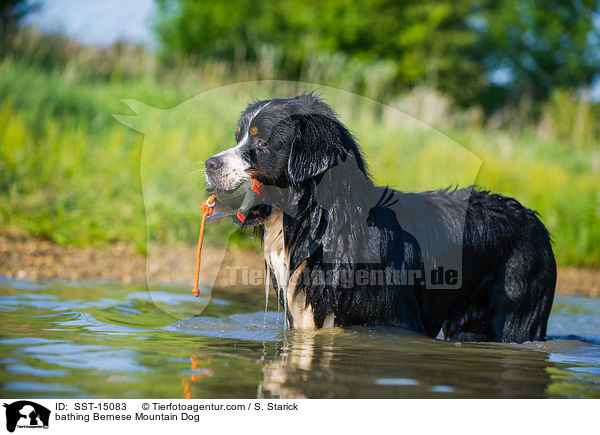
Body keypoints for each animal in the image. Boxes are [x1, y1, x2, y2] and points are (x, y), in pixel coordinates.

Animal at [204, 93, 556, 344]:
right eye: (238, 137)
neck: (321, 229)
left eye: (262, 142)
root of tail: (534, 219)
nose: (209, 163)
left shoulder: (395, 321)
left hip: (517, 309)